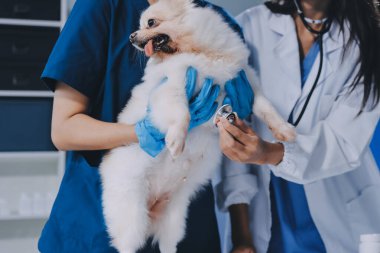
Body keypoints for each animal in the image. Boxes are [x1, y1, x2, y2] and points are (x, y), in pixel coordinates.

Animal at [99, 0, 296, 253]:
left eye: (150, 23)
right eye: (139, 26)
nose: (132, 36)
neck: (199, 51)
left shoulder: (249, 85)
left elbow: (269, 109)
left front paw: (284, 130)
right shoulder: (172, 88)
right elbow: (183, 113)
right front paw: (176, 140)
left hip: (173, 221)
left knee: (168, 244)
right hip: (132, 217)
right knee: (127, 243)